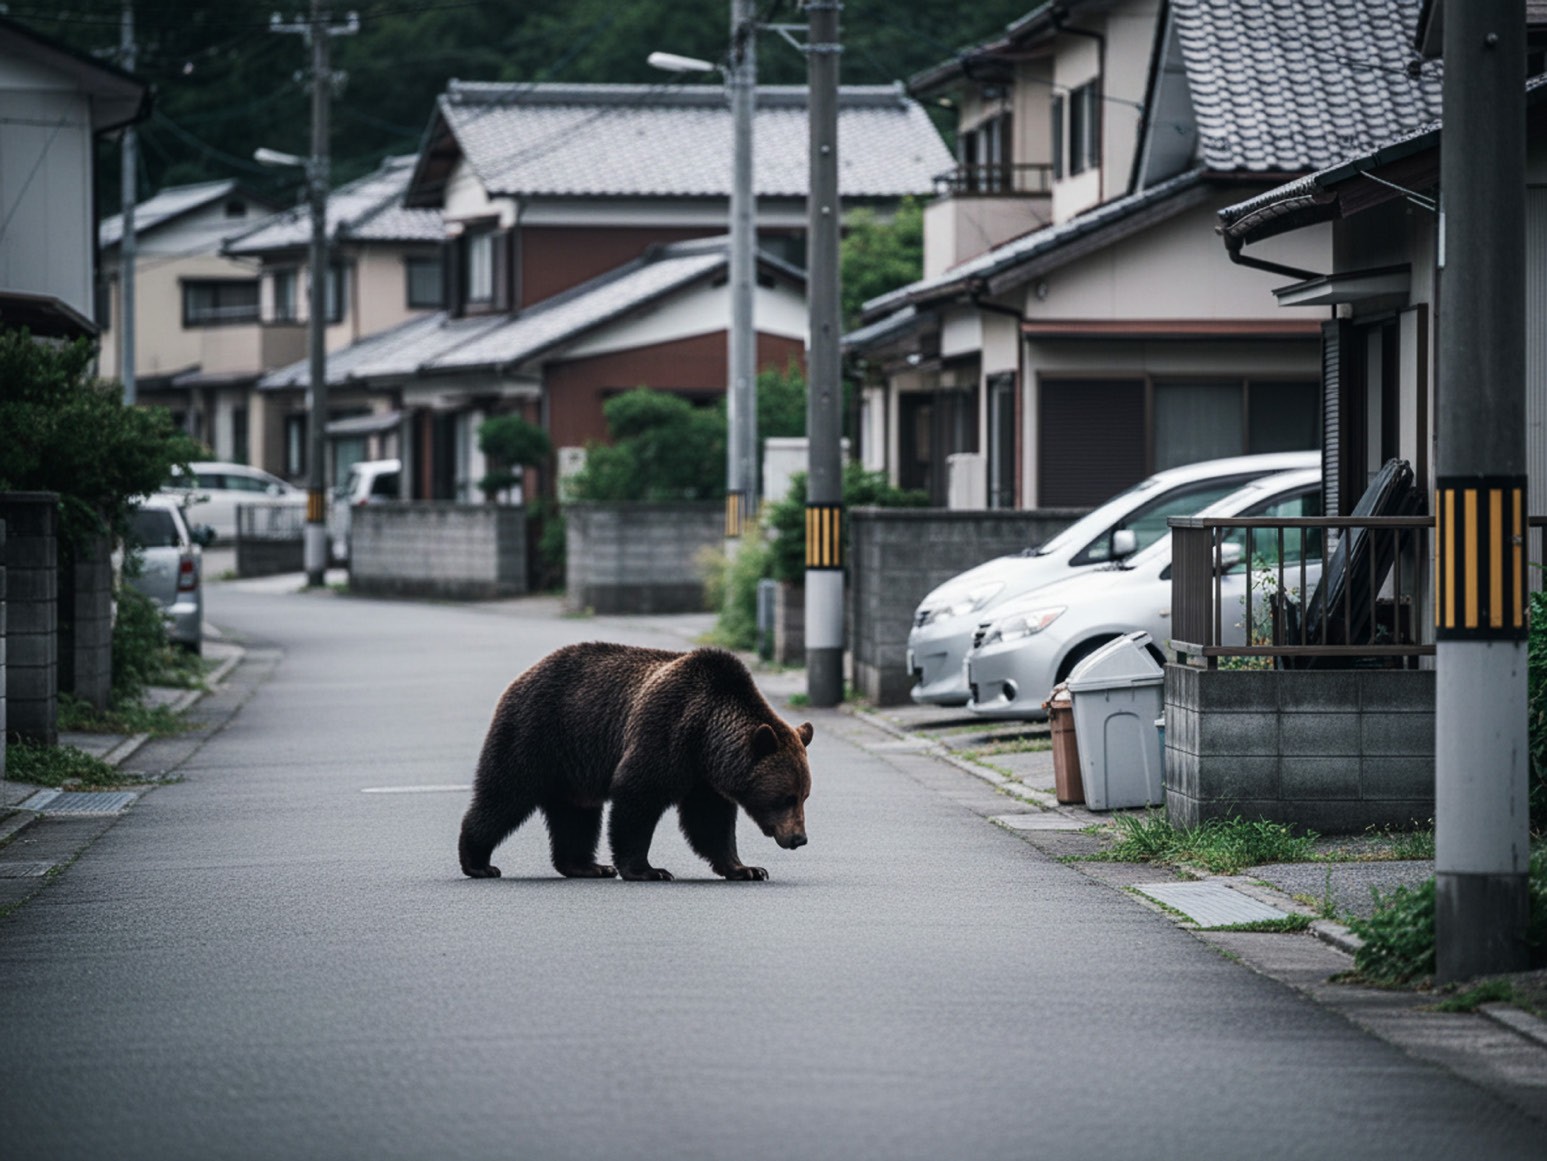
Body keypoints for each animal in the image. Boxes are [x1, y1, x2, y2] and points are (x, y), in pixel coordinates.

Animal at [458, 642, 813, 882]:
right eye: (786, 797)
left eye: (804, 795)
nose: (799, 839)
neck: (706, 735)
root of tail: (525, 673)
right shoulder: (665, 731)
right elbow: (637, 795)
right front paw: (649, 869)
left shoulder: (704, 777)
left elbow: (709, 821)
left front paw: (748, 869)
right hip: (537, 732)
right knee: (505, 793)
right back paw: (478, 862)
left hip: (573, 766)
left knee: (576, 813)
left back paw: (588, 866)